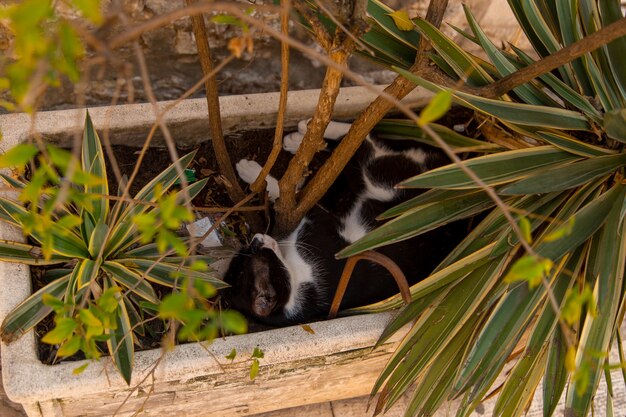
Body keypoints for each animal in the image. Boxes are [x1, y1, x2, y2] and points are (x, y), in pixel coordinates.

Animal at [223, 119, 464, 324]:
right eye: (257, 254)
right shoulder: (322, 229)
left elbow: (291, 199)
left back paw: (305, 135)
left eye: (250, 252)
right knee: (366, 147)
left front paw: (255, 176)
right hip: (385, 179)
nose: (255, 240)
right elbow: (300, 202)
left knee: (358, 140)